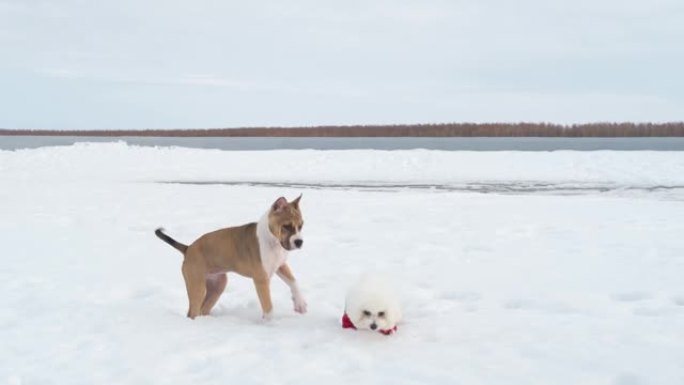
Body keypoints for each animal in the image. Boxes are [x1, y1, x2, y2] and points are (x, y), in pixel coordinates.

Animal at [156, 195, 306, 318]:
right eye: (286, 226)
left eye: (301, 226)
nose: (299, 242)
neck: (272, 240)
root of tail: (188, 248)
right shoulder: (261, 279)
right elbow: (268, 307)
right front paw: (270, 323)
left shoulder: (280, 265)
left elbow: (294, 282)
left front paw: (300, 304)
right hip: (197, 286)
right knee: (193, 312)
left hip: (217, 286)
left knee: (202, 309)